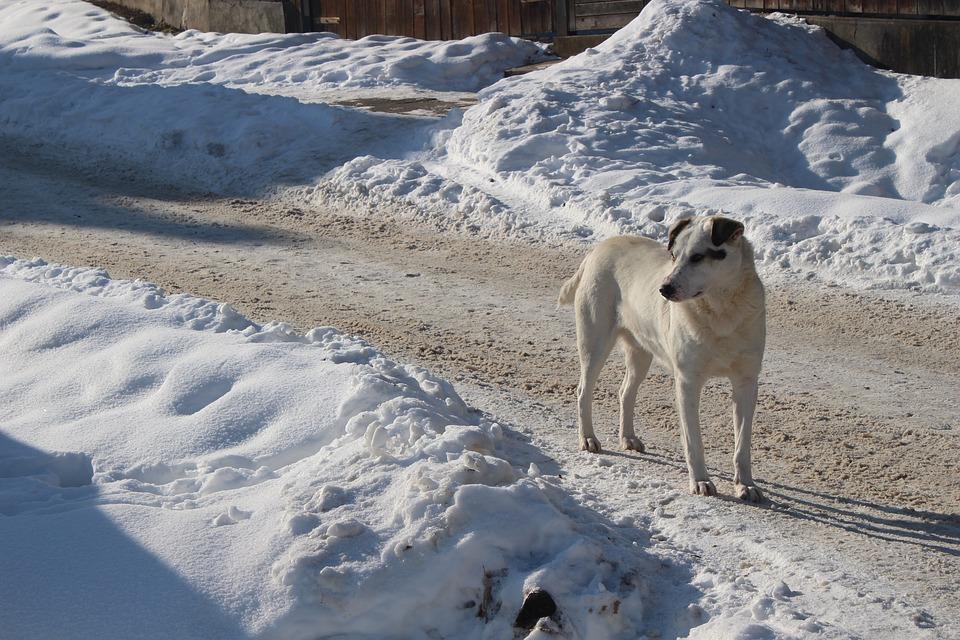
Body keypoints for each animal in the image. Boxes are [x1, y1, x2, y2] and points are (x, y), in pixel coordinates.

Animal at [556, 218, 764, 502]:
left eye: (698, 257)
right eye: (674, 256)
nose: (664, 289)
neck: (721, 311)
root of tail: (598, 249)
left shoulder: (746, 383)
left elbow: (743, 444)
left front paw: (746, 485)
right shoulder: (687, 382)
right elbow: (693, 441)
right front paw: (700, 481)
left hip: (641, 353)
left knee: (625, 392)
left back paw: (628, 437)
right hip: (594, 342)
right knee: (583, 391)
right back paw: (588, 438)